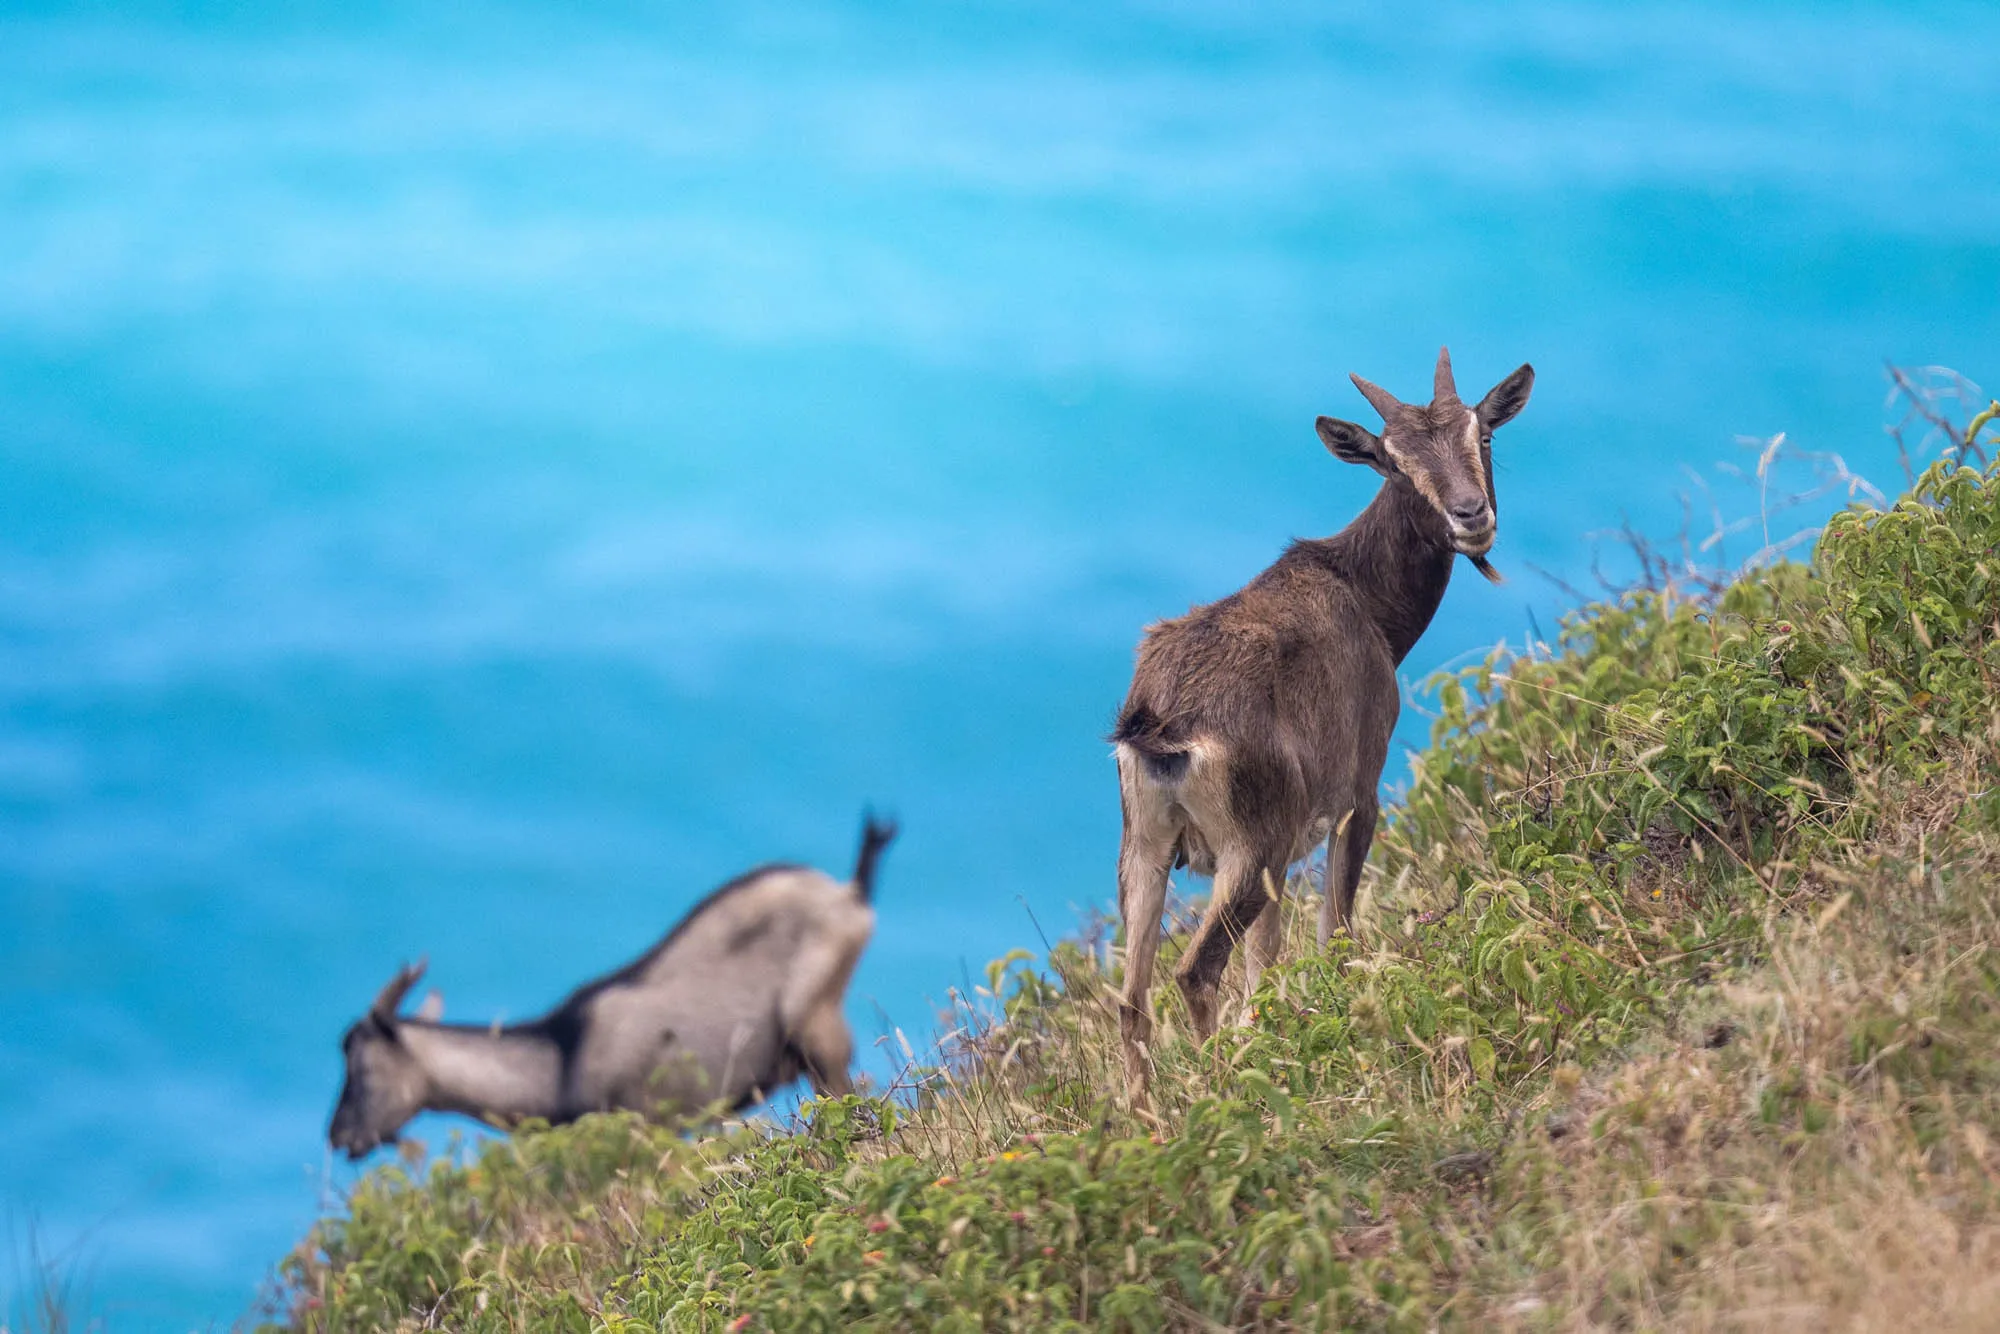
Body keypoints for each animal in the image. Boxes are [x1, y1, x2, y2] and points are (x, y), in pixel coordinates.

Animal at [326, 814, 896, 1159]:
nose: (338, 1137)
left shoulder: (643, 1123)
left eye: (361, 1067)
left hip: (815, 1016)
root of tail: (849, 892)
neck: (560, 1059)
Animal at [1110, 348, 1534, 1103]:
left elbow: (1267, 963)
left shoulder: (1280, 861)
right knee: (1195, 970)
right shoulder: (1355, 799)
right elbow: (1332, 934)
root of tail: (1161, 724)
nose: (1470, 516)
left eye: (1481, 433)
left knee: (1133, 997)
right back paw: (1219, 1091)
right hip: (1248, 848)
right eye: (1393, 461)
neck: (1366, 600)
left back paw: (1144, 1114)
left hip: (1148, 850)